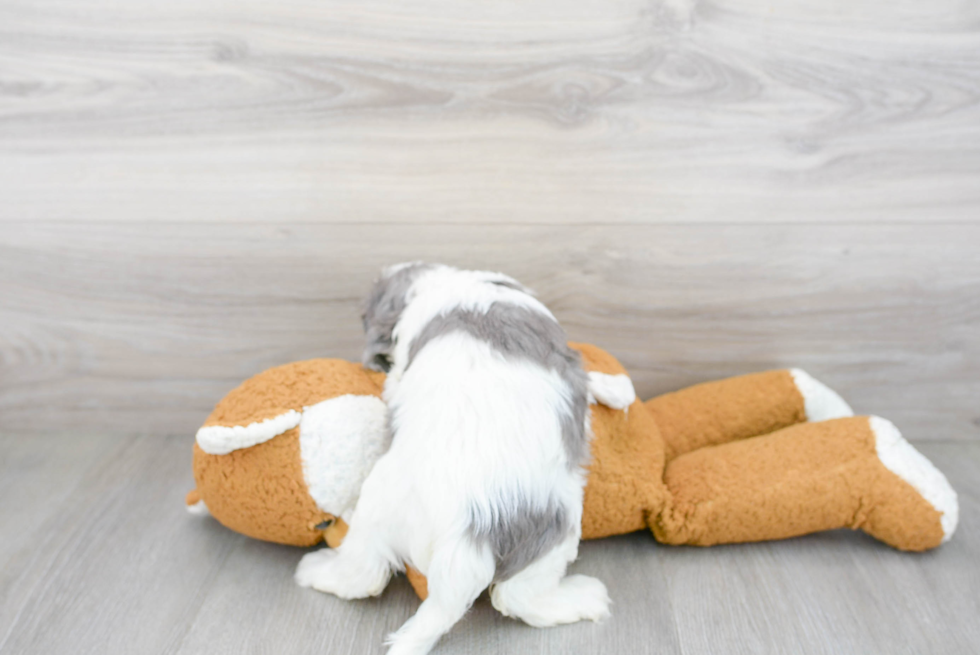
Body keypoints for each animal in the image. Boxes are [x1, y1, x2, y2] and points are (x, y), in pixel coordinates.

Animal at [294, 262, 608, 655]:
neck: (461, 284)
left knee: (362, 573)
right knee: (519, 596)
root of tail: (466, 537)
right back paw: (583, 599)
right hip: (555, 528)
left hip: (376, 506)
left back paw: (315, 570)